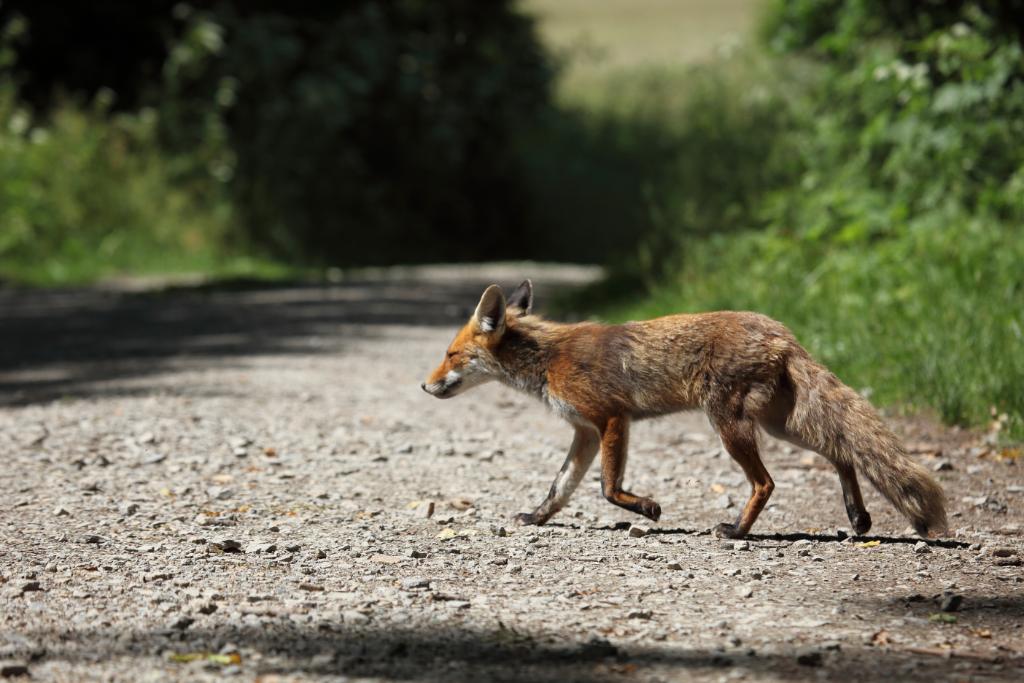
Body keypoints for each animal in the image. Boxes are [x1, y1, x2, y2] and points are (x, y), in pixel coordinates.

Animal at [421, 280, 948, 539]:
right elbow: (560, 487)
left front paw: (648, 508)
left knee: (767, 482)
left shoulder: (611, 419)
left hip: (730, 424)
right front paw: (536, 518)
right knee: (841, 451)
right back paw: (857, 517)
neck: (547, 359)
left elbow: (608, 489)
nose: (424, 386)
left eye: (450, 354)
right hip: (779, 424)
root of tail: (783, 332)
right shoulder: (585, 432)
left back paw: (737, 531)